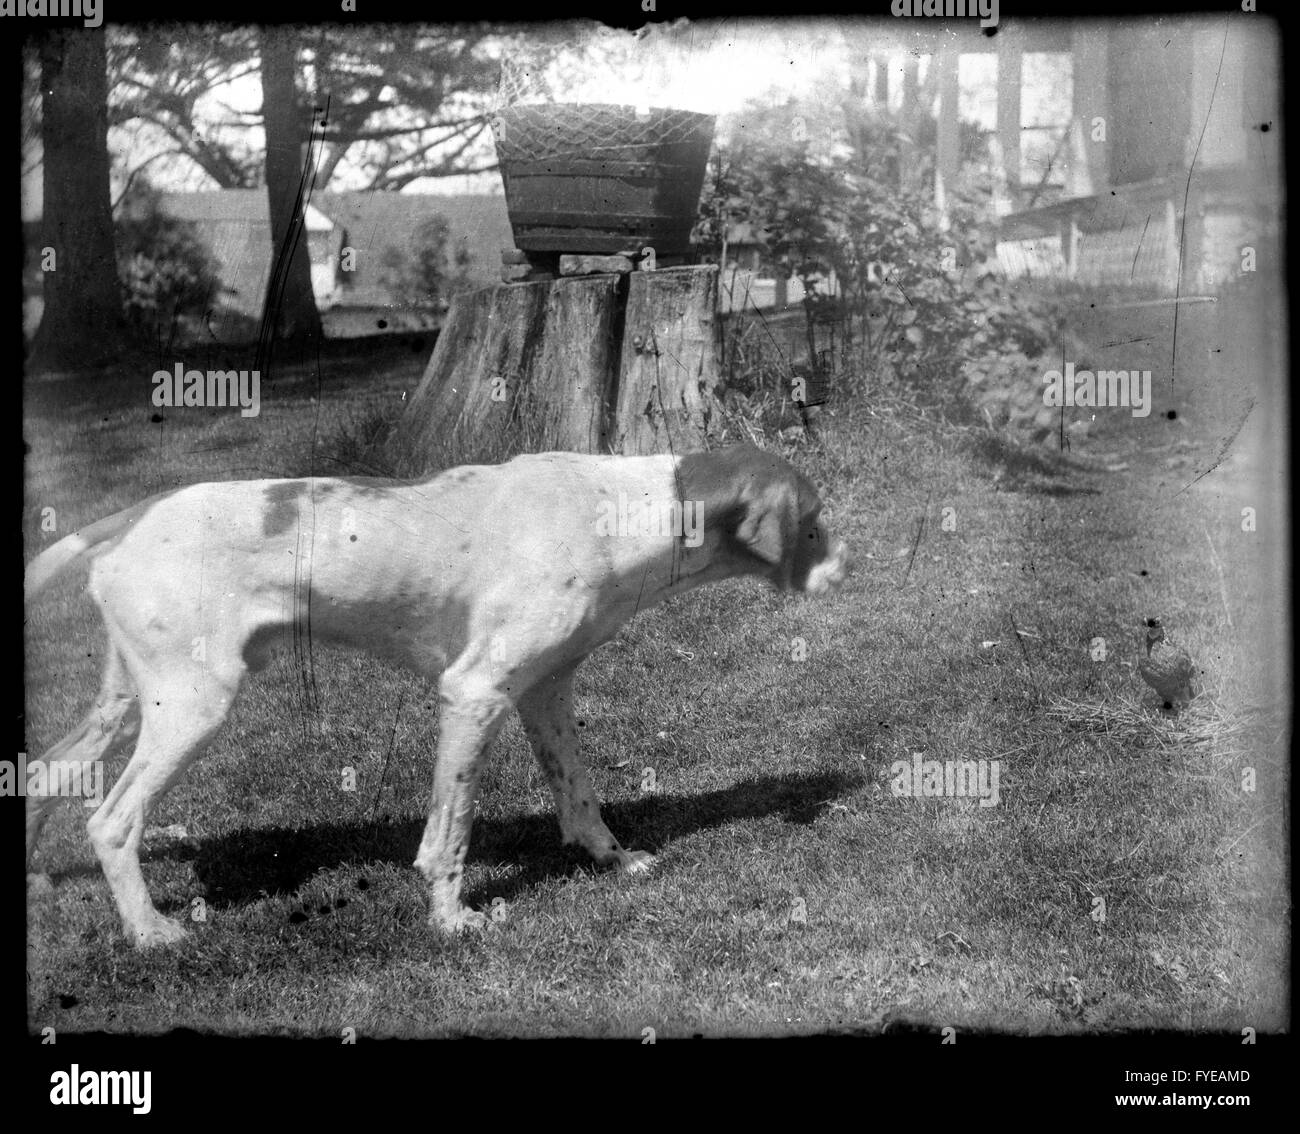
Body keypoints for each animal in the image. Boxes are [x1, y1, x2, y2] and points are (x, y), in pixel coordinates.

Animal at [25, 442, 852, 946]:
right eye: (813, 525)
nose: (851, 566)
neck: (622, 509)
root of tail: (137, 515)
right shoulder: (474, 694)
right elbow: (450, 832)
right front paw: (453, 918)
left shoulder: (545, 693)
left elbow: (580, 797)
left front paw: (612, 862)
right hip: (194, 706)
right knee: (110, 822)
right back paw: (149, 933)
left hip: (131, 702)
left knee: (41, 774)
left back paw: (37, 881)